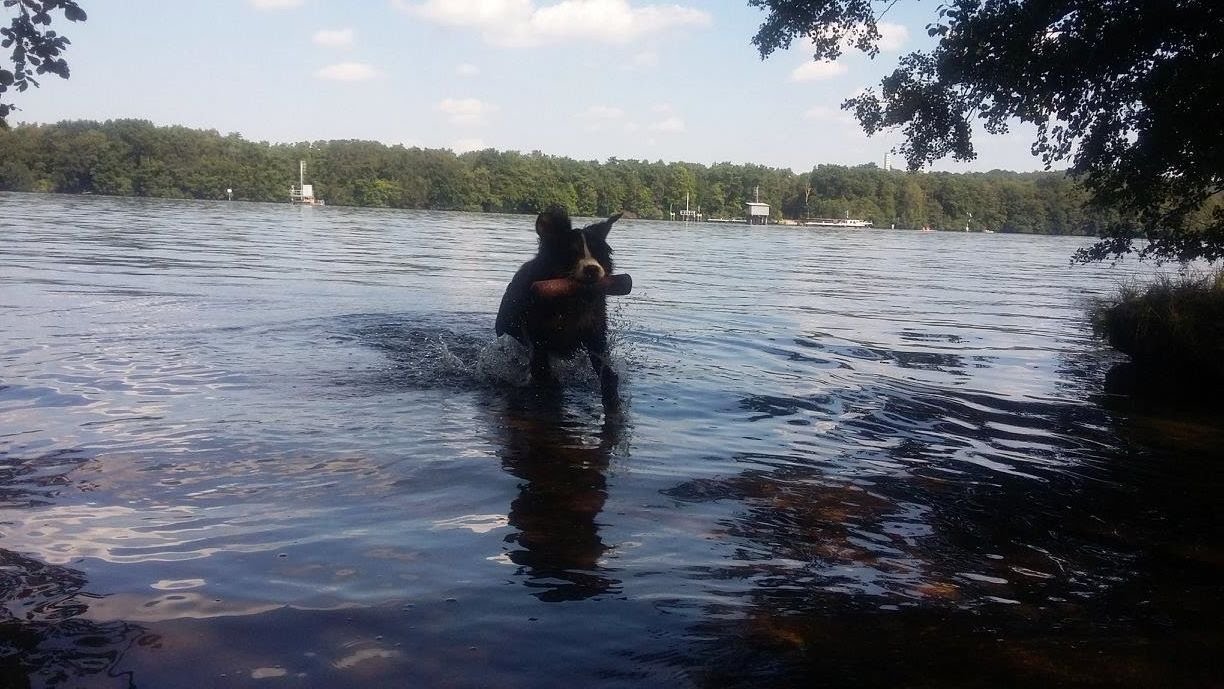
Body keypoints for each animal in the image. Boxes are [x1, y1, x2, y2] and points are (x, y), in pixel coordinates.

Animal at [496, 208, 626, 406]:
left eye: (598, 253)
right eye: (571, 253)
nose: (592, 269)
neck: (568, 301)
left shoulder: (595, 331)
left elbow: (605, 368)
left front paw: (611, 396)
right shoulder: (537, 336)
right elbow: (542, 369)